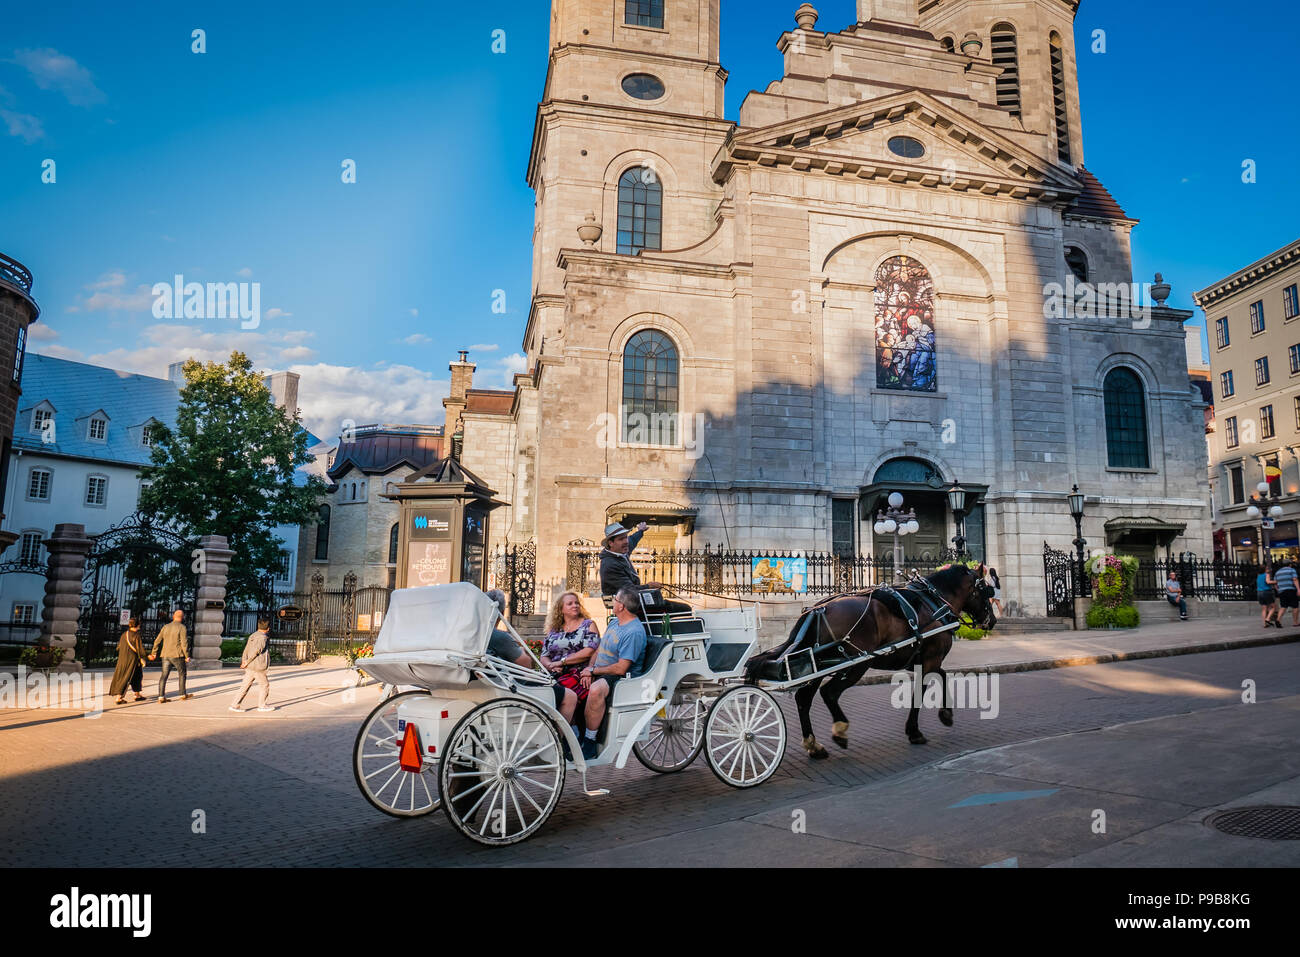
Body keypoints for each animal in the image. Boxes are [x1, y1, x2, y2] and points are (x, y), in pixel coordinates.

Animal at [743, 564, 993, 759]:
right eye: (986, 590)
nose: (991, 620)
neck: (933, 601)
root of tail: (816, 610)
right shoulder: (931, 658)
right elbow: (920, 693)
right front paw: (915, 731)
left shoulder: (920, 661)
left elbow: (942, 676)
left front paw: (946, 714)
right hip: (856, 664)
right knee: (829, 693)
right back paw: (840, 731)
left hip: (815, 666)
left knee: (804, 698)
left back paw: (814, 746)